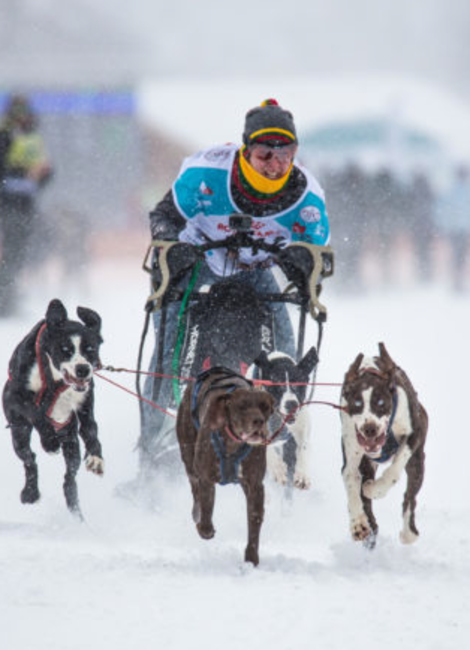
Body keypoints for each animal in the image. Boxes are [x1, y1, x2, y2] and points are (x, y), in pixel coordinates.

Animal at [2, 298, 104, 516]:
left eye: (90, 349)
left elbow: (91, 429)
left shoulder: (85, 405)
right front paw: (49, 441)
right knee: (30, 459)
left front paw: (96, 458)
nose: (83, 369)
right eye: (65, 349)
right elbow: (35, 412)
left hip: (70, 438)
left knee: (70, 476)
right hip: (19, 432)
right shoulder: (15, 397)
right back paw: (30, 492)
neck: (55, 380)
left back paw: (74, 506)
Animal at [178, 364, 278, 560]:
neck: (233, 442)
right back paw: (196, 513)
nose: (259, 421)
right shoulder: (206, 477)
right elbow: (206, 506)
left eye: (265, 406)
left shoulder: (254, 485)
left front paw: (251, 557)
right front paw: (205, 528)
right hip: (188, 455)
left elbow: (254, 519)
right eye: (242, 405)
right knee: (194, 487)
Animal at [252, 346, 318, 488]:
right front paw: (278, 468)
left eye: (299, 385)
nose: (291, 404)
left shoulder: (301, 424)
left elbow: (304, 446)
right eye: (277, 385)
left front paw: (302, 473)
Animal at [340, 344, 428, 548]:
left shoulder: (414, 434)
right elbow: (351, 480)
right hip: (367, 464)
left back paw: (408, 532)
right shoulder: (352, 453)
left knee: (409, 497)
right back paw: (370, 528)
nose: (369, 428)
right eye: (357, 403)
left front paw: (376, 489)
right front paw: (358, 524)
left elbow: (394, 470)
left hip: (418, 462)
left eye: (380, 402)